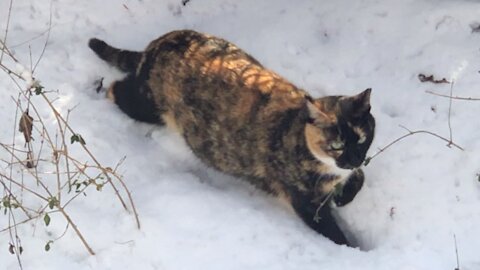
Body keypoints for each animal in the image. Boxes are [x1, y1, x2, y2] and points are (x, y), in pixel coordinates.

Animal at [89, 30, 376, 247]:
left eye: (362, 139)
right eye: (337, 145)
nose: (353, 159)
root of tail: (158, 44)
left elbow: (360, 176)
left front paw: (344, 195)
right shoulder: (306, 202)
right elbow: (333, 232)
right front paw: (353, 250)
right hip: (146, 105)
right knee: (116, 90)